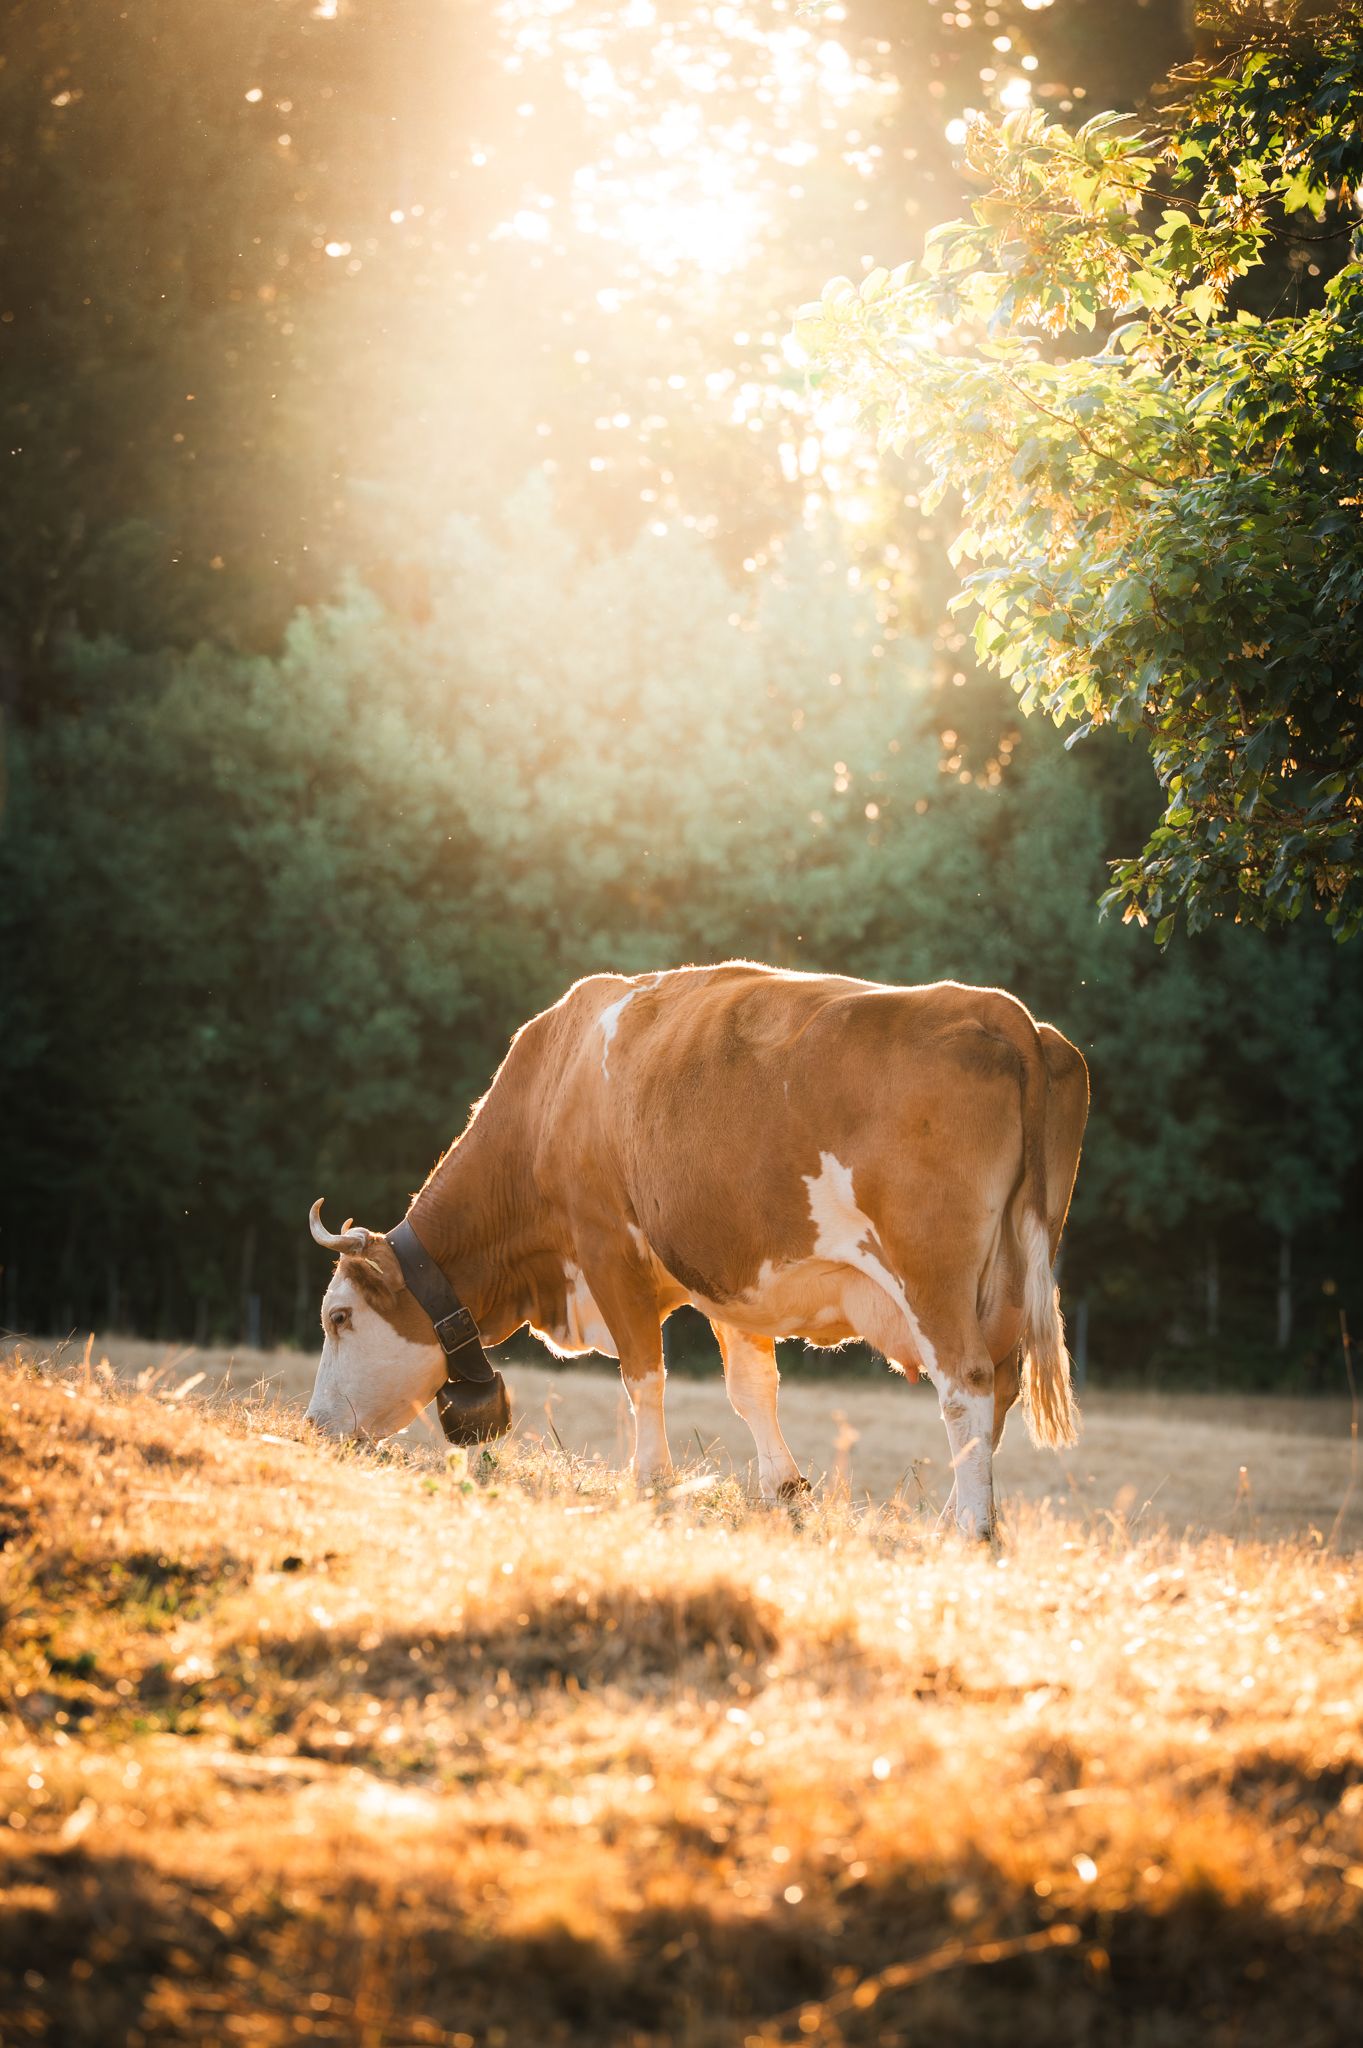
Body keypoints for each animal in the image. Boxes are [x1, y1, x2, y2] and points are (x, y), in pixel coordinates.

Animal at [306, 961, 1089, 1538]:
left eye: (339, 1317)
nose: (311, 1427)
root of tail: (1003, 1013)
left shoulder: (606, 1248)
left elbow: (643, 1375)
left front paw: (650, 1481)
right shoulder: (726, 1276)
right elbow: (751, 1388)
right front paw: (783, 1489)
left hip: (932, 1277)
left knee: (966, 1387)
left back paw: (970, 1528)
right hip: (1008, 1279)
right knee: (999, 1391)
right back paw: (957, 1519)